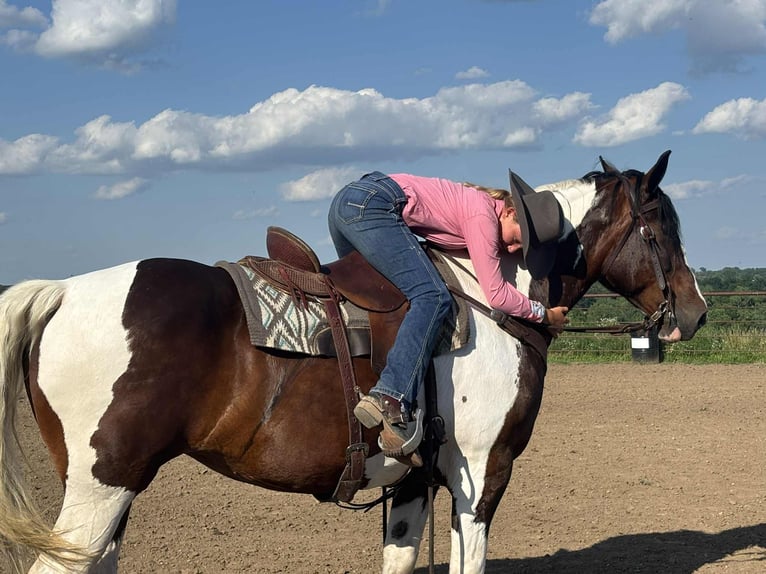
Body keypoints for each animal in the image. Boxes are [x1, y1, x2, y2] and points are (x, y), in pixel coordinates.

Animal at [0, 150, 707, 573]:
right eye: (661, 226)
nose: (695, 312)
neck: (492, 295)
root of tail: (62, 291)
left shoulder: (417, 481)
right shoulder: (485, 473)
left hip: (106, 486)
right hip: (103, 484)